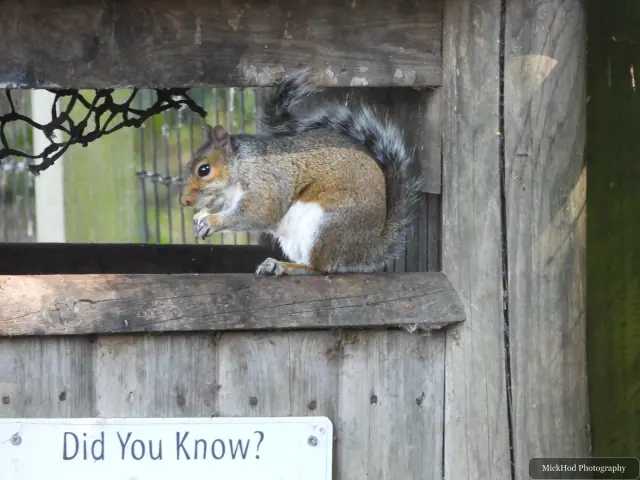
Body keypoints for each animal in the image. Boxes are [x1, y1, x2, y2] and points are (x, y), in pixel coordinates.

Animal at [179, 69, 422, 277]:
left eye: (204, 170)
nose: (184, 201)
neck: (240, 167)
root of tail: (369, 248)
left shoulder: (265, 183)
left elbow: (258, 213)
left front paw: (212, 221)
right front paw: (200, 216)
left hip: (324, 227)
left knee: (319, 268)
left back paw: (284, 266)